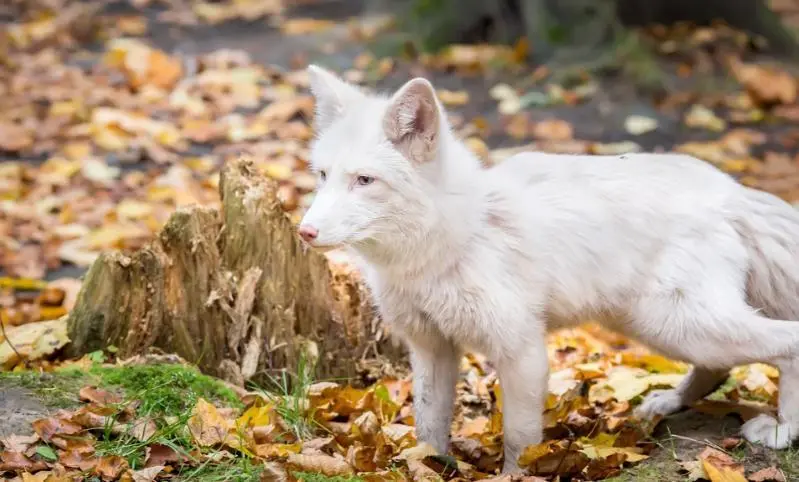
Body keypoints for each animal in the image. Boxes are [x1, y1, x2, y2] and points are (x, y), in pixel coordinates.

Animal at [296, 65, 799, 474]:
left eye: (365, 181)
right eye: (322, 175)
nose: (305, 232)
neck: (452, 240)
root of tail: (732, 190)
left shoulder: (522, 350)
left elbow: (520, 441)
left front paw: (516, 475)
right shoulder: (431, 347)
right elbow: (428, 428)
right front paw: (430, 467)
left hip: (676, 324)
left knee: (787, 342)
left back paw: (782, 430)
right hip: (659, 326)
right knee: (718, 368)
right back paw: (670, 401)